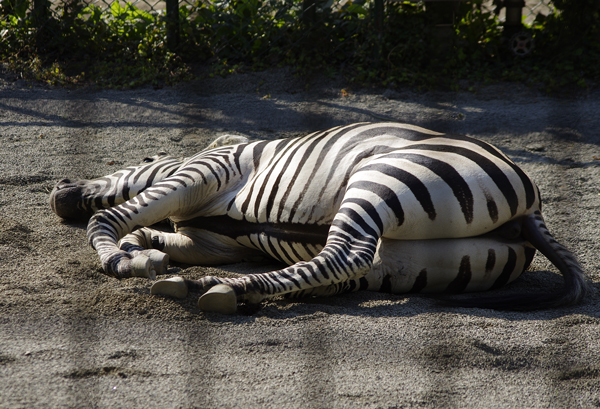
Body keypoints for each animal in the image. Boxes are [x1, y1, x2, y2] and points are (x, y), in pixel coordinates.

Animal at [49, 121, 588, 312]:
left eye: (134, 163)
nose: (57, 195)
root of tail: (532, 207)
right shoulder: (211, 244)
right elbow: (159, 235)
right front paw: (144, 249)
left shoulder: (207, 171)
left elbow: (110, 220)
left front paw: (122, 257)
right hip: (408, 265)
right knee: (335, 270)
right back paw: (224, 288)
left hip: (379, 179)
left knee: (346, 253)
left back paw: (220, 287)